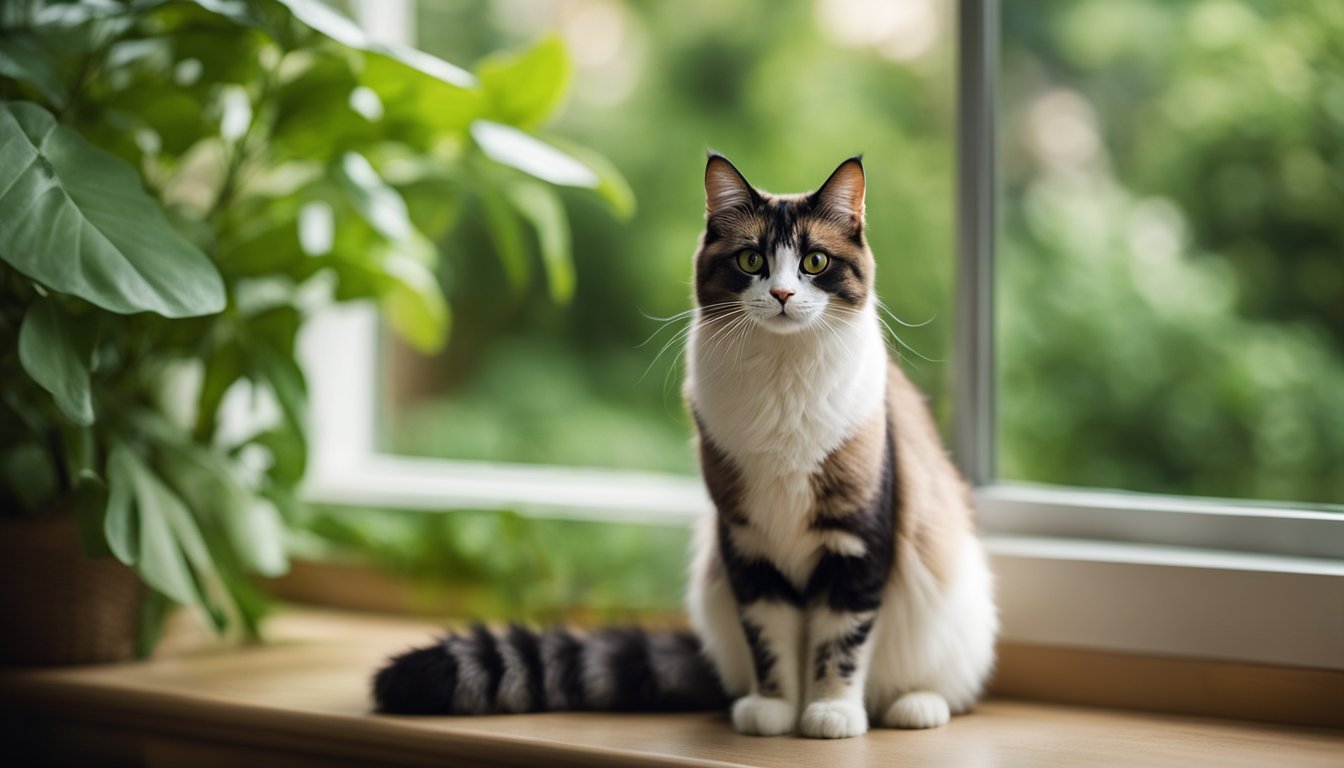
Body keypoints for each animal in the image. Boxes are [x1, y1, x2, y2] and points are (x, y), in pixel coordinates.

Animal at [370, 151, 999, 737]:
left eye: (815, 262)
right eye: (752, 260)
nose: (782, 293)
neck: (782, 381)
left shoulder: (856, 542)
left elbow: (839, 643)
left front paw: (829, 714)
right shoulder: (747, 544)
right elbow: (769, 642)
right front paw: (774, 712)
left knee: (943, 685)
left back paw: (914, 705)